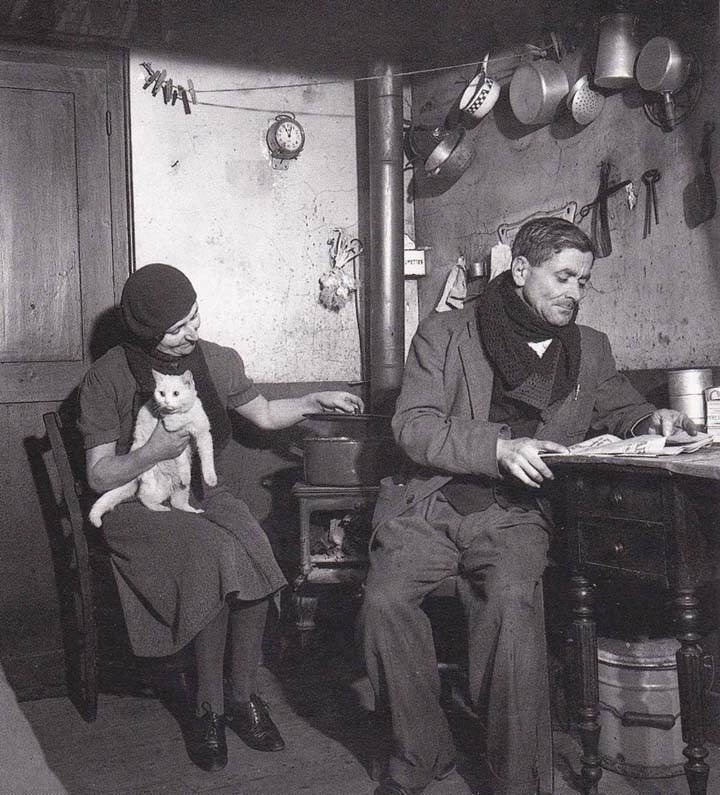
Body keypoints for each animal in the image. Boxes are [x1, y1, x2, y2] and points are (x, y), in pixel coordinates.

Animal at [88, 372, 217, 528]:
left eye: (176, 393)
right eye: (161, 393)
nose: (166, 402)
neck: (183, 415)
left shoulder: (204, 435)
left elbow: (208, 458)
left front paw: (211, 479)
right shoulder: (174, 440)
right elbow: (182, 461)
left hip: (181, 489)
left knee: (177, 502)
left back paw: (192, 509)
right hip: (155, 486)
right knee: (144, 497)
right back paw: (160, 507)